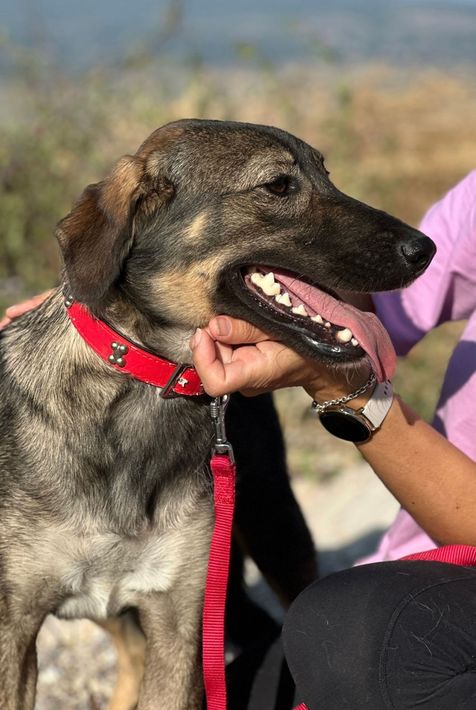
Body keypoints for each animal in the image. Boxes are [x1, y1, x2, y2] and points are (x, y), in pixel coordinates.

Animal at [0, 119, 435, 710]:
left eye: (327, 175)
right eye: (278, 186)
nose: (425, 249)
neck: (143, 389)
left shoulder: (180, 619)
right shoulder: (14, 629)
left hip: (277, 524)